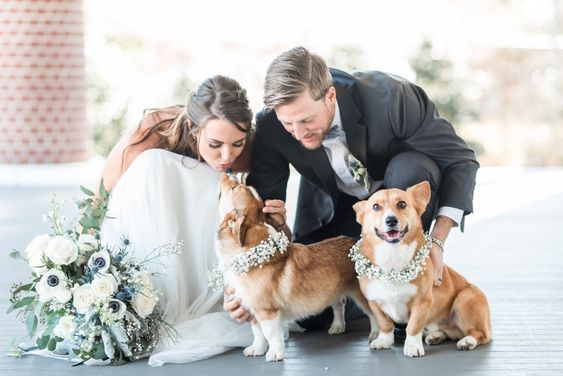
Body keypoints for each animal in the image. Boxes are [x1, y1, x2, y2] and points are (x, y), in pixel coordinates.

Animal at [217, 173, 378, 362]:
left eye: (234, 188)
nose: (226, 173)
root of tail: (357, 243)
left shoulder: (267, 311)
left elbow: (270, 334)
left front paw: (275, 353)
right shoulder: (252, 308)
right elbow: (257, 332)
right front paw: (257, 349)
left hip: (362, 295)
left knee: (374, 313)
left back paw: (376, 334)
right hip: (335, 291)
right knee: (339, 304)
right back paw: (337, 326)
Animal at [354, 182, 492, 358]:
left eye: (402, 204)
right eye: (376, 206)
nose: (391, 220)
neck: (392, 258)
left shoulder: (422, 301)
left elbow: (413, 326)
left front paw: (413, 346)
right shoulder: (374, 302)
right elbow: (385, 324)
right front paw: (384, 341)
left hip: (465, 299)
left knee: (481, 334)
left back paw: (468, 341)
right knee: (448, 332)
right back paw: (436, 336)